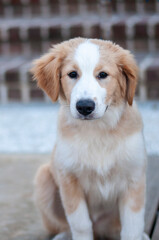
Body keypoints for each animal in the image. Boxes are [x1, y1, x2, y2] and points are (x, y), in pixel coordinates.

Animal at [32, 38, 149, 240]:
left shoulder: (133, 179)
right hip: (43, 178)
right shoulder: (69, 178)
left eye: (103, 75)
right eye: (72, 74)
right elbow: (80, 224)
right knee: (64, 225)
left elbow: (132, 228)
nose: (85, 107)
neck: (97, 130)